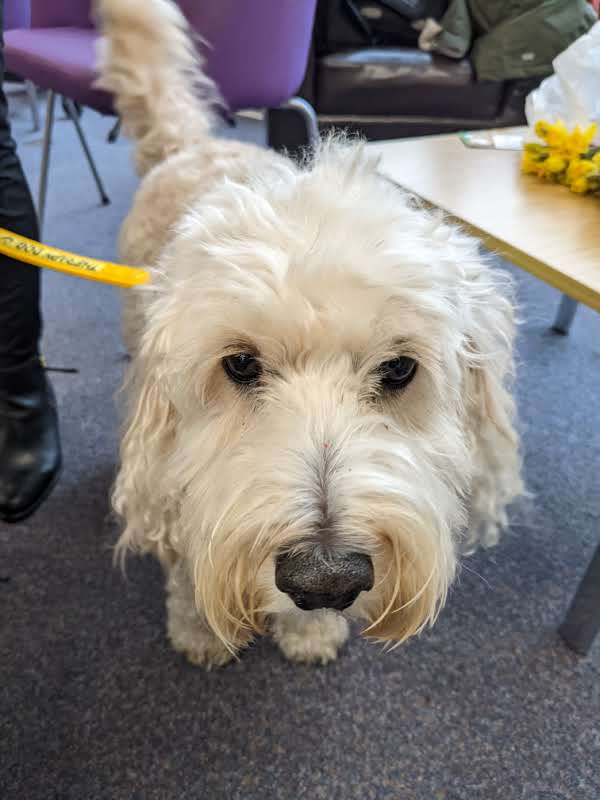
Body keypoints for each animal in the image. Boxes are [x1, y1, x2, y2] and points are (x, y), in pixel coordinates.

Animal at [94, 0, 520, 668]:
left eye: (399, 369)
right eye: (241, 365)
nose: (326, 580)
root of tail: (194, 144)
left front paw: (311, 631)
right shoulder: (181, 470)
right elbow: (186, 558)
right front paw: (199, 630)